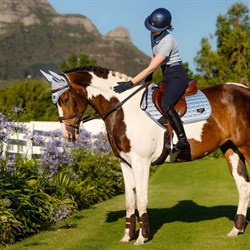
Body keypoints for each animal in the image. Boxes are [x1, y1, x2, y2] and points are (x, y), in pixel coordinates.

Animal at [41, 66, 250, 244]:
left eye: (65, 99)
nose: (68, 135)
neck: (123, 109)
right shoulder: (125, 163)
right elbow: (129, 200)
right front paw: (127, 236)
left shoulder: (141, 162)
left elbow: (141, 199)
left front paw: (142, 237)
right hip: (231, 149)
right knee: (243, 187)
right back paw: (236, 229)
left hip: (245, 147)